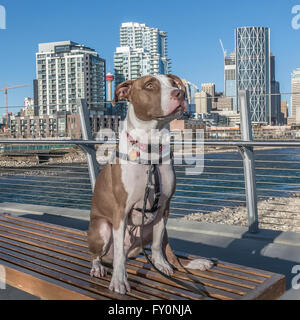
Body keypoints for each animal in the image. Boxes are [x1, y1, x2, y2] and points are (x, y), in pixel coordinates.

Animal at [86, 74, 213, 294]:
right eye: (150, 85)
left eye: (173, 84)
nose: (179, 93)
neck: (150, 149)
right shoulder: (120, 210)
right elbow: (119, 254)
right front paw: (119, 280)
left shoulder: (164, 208)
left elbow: (156, 244)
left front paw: (161, 264)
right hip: (102, 228)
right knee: (99, 255)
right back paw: (98, 267)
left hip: (149, 227)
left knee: (170, 253)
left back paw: (191, 263)